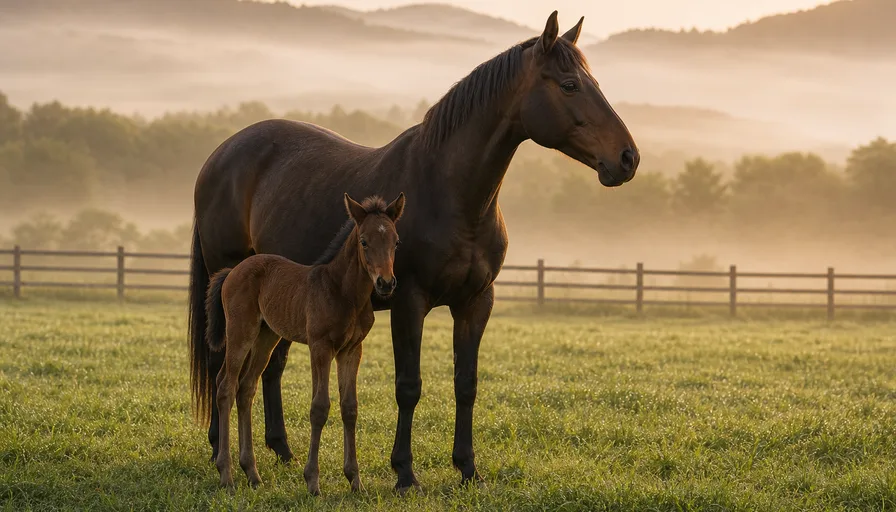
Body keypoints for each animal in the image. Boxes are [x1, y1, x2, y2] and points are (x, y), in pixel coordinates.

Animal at [204, 193, 405, 493]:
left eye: (396, 241)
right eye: (364, 241)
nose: (386, 283)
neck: (343, 292)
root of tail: (232, 271)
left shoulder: (352, 350)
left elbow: (350, 408)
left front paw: (355, 480)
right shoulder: (320, 346)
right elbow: (319, 407)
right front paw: (312, 481)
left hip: (266, 336)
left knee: (246, 387)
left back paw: (252, 472)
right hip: (240, 331)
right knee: (226, 386)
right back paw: (226, 474)